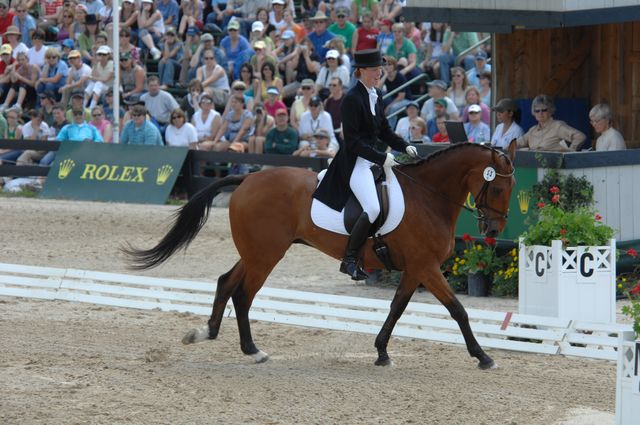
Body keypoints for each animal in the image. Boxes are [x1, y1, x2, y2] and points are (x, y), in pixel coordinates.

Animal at [122, 142, 516, 368]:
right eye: (497, 187)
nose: (494, 230)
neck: (428, 196)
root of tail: (247, 179)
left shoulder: (414, 269)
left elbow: (396, 309)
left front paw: (381, 352)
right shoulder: (426, 267)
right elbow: (458, 310)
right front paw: (483, 356)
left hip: (256, 252)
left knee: (225, 283)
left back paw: (207, 333)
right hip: (266, 256)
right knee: (243, 294)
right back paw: (252, 350)